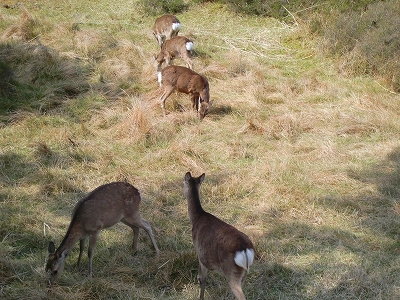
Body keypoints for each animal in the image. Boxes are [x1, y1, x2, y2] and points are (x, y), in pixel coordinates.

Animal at [183, 171, 255, 300]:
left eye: (182, 183)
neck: (196, 218)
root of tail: (245, 249)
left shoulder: (200, 253)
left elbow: (201, 278)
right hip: (244, 273)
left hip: (231, 271)